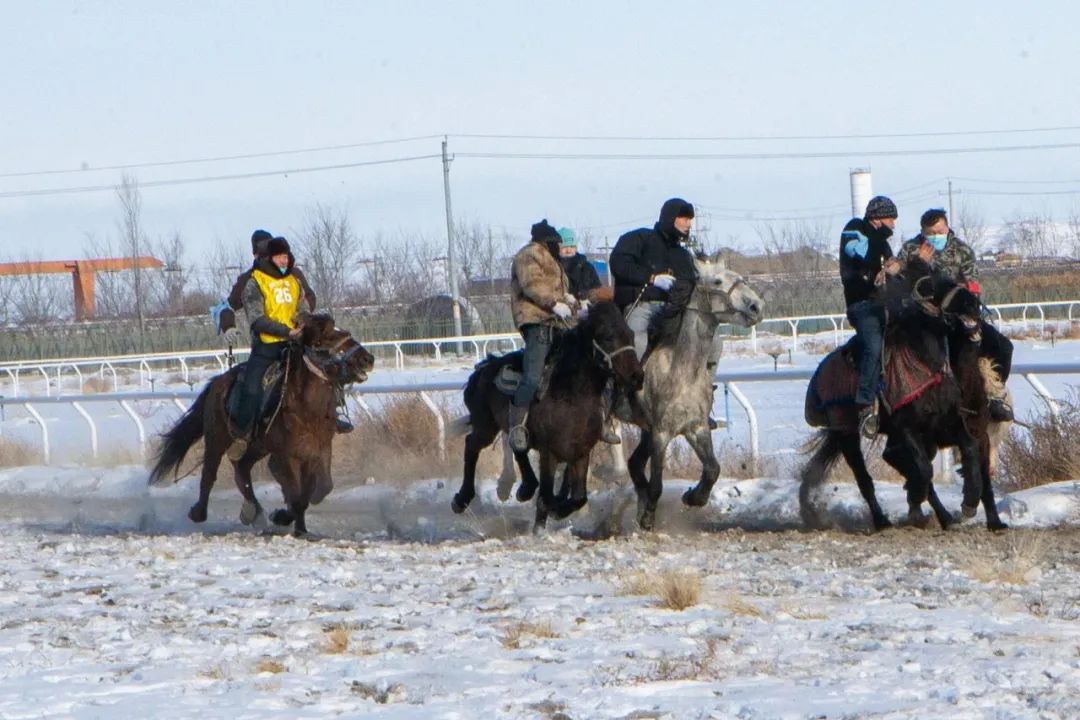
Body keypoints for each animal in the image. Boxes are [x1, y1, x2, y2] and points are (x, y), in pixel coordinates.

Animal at [149, 313, 375, 536]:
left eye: (345, 331)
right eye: (324, 338)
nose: (367, 359)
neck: (306, 409)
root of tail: (218, 381)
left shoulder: (321, 449)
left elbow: (320, 488)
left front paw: (295, 523)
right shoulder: (285, 456)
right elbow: (295, 494)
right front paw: (287, 520)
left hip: (257, 446)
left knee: (242, 470)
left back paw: (252, 511)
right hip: (217, 438)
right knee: (209, 474)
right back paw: (200, 512)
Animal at [450, 300, 644, 527]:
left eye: (630, 334)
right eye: (607, 336)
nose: (637, 376)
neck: (570, 395)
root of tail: (484, 367)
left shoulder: (581, 453)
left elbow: (578, 497)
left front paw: (559, 511)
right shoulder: (549, 453)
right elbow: (546, 497)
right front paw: (545, 521)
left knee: (517, 446)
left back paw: (526, 487)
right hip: (485, 426)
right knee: (472, 445)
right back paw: (462, 499)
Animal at [625, 253, 764, 531]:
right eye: (718, 281)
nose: (756, 306)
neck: (681, 369)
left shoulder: (695, 427)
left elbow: (712, 469)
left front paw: (693, 497)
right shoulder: (661, 433)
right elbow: (657, 483)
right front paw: (648, 519)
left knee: (634, 464)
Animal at [799, 263, 1007, 531]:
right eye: (935, 290)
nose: (972, 303)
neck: (924, 367)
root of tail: (821, 374)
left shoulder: (955, 425)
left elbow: (970, 454)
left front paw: (972, 504)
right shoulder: (907, 428)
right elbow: (923, 471)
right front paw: (918, 504)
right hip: (847, 433)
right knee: (865, 479)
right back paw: (884, 520)